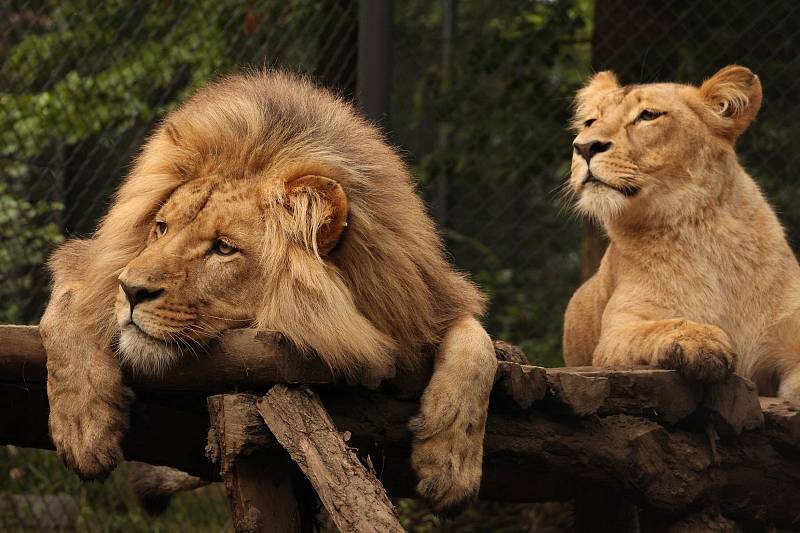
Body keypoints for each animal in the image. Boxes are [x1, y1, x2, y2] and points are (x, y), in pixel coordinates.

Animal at [42, 70, 500, 512]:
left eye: (224, 248)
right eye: (161, 227)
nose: (132, 290)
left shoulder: (424, 304)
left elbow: (479, 348)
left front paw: (450, 466)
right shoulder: (88, 265)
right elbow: (69, 310)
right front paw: (85, 429)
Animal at [564, 64, 800, 394]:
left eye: (648, 115)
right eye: (590, 121)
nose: (584, 146)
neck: (698, 227)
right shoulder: (616, 331)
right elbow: (656, 327)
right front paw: (700, 339)